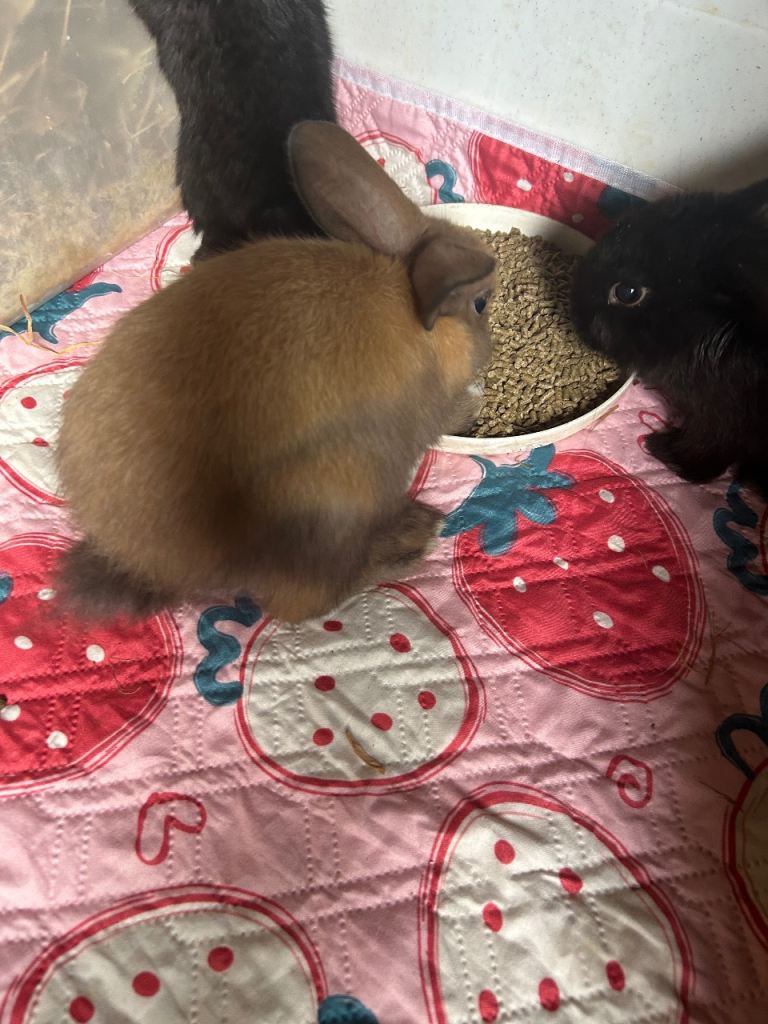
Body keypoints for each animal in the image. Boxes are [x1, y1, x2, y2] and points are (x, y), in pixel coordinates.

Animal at [56, 122, 496, 624]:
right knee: (305, 602)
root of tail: (149, 564)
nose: (490, 351)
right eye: (480, 304)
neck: (414, 310)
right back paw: (414, 535)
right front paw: (474, 403)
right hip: (337, 499)